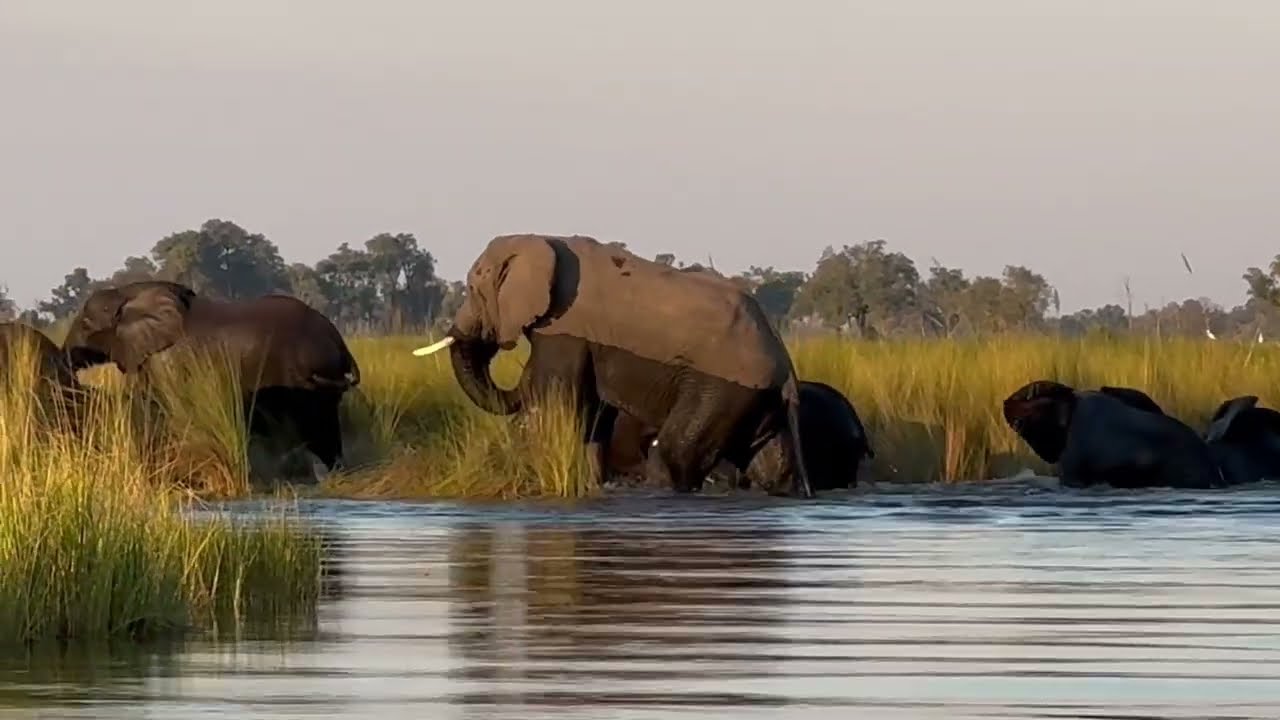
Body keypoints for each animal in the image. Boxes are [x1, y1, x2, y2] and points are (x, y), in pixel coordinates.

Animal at [413, 233, 814, 497]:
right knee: (773, 465)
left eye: (472, 289)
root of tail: (786, 370)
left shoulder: (565, 329)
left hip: (721, 391)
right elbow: (592, 417)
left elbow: (560, 401)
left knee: (673, 454)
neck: (541, 240)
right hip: (756, 402)